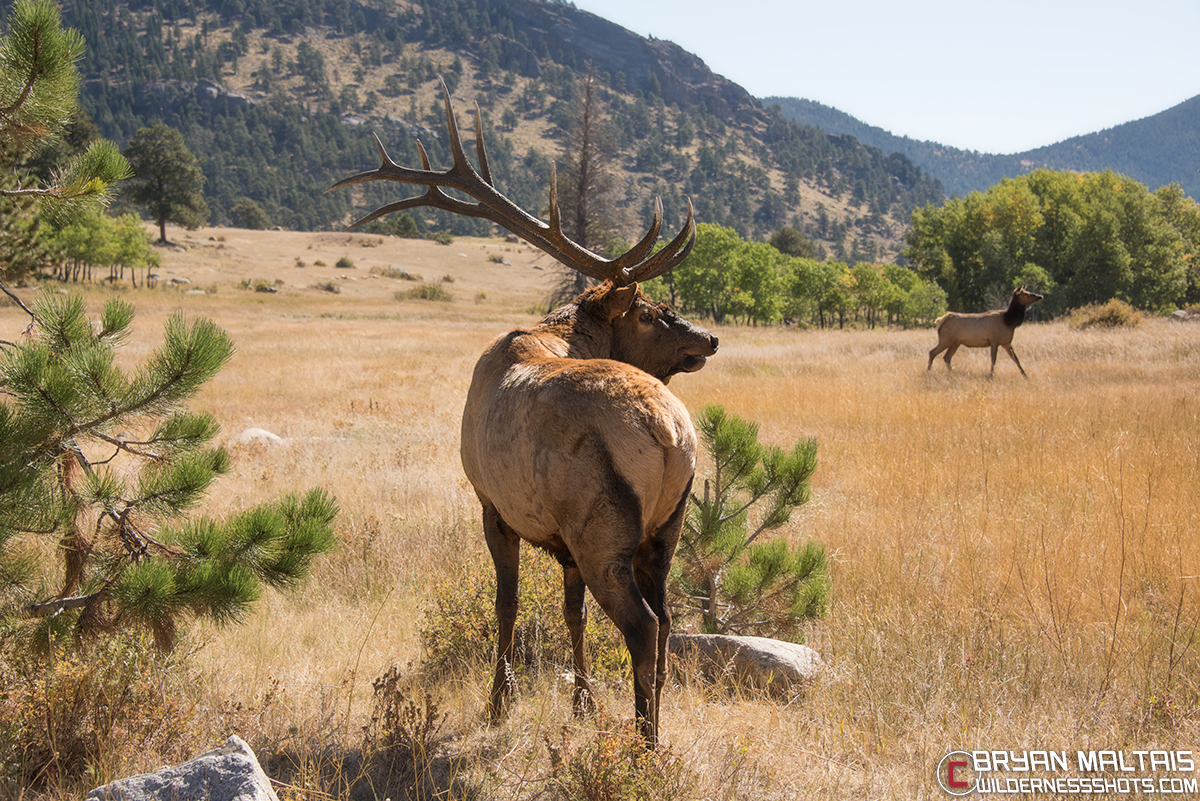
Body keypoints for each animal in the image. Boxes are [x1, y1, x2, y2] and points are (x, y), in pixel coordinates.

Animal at [328, 77, 715, 743]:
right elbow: (570, 612)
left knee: (642, 626)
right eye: (651, 313)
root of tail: (671, 435)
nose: (710, 339)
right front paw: (581, 702)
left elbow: (506, 604)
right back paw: (655, 729)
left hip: (601, 524)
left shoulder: (492, 503)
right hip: (666, 526)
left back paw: (644, 744)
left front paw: (497, 703)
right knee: (666, 622)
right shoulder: (557, 537)